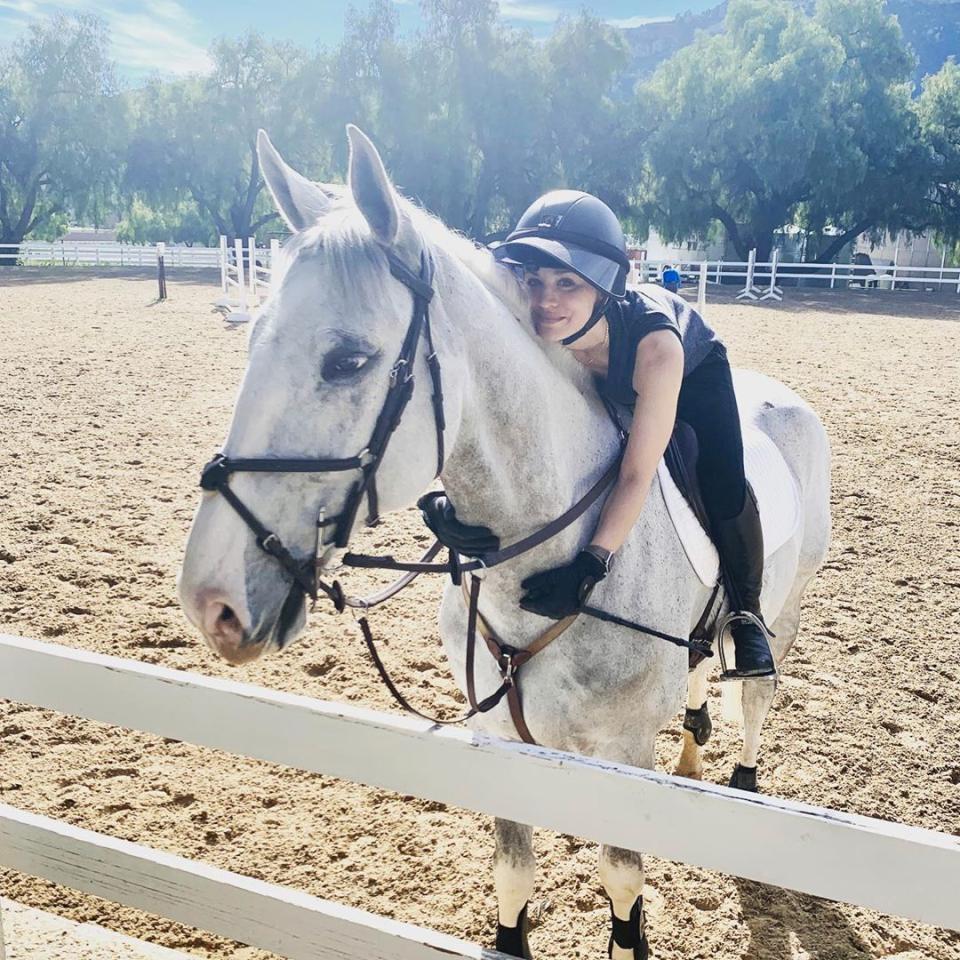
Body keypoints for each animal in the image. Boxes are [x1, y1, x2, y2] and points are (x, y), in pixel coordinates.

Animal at [180, 127, 832, 960]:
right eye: (253, 338)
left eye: (348, 361)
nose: (213, 602)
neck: (545, 564)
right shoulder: (502, 742)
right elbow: (513, 875)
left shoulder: (621, 755)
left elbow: (623, 886)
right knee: (697, 668)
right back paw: (691, 748)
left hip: (786, 606)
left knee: (754, 689)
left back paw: (743, 781)